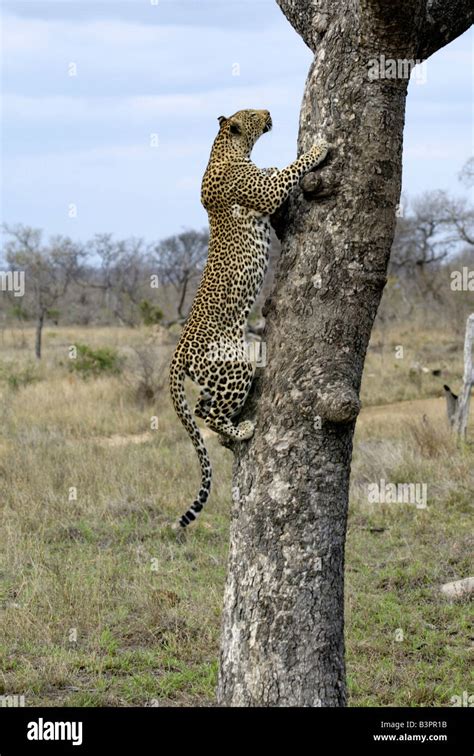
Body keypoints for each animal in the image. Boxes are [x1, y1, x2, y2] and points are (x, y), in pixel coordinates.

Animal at [169, 109, 330, 524]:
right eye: (254, 114)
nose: (269, 112)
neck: (225, 148)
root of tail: (178, 353)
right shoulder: (266, 194)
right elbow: (291, 170)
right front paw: (320, 148)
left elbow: (278, 171)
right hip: (233, 365)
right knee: (209, 414)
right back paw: (242, 430)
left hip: (217, 376)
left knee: (201, 407)